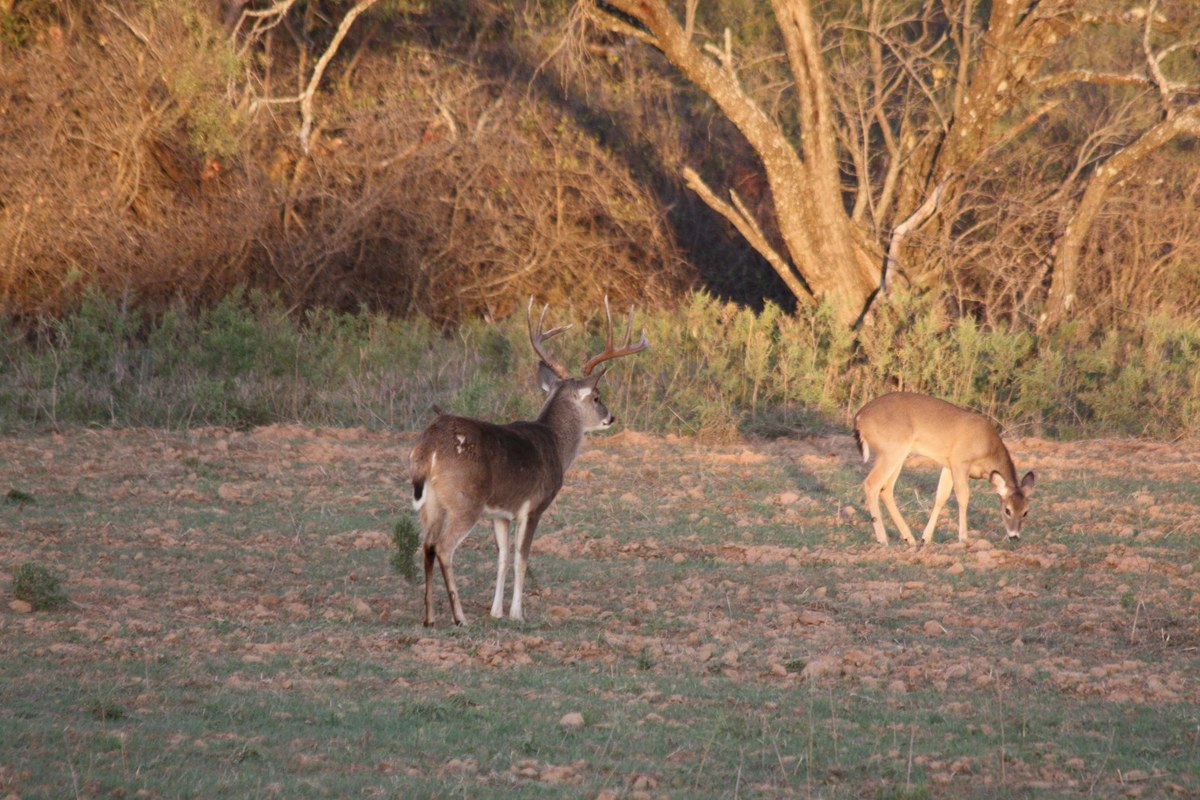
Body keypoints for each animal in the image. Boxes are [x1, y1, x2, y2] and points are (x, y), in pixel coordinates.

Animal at [408, 298, 648, 623]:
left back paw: (430, 618)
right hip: (465, 501)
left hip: (431, 503)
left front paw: (496, 611)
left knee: (427, 545)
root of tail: (428, 445)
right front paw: (517, 614)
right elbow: (522, 558)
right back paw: (460, 617)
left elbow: (502, 557)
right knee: (444, 548)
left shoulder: (500, 513)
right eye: (597, 396)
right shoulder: (533, 505)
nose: (611, 417)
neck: (556, 445)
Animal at [854, 393, 1032, 546]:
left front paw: (925, 538)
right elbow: (963, 496)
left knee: (886, 489)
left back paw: (909, 538)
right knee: (871, 484)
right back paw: (883, 539)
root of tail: (860, 416)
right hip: (892, 451)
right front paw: (963, 538)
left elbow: (941, 496)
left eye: (1025, 511)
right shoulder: (960, 461)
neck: (988, 448)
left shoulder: (948, 465)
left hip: (897, 455)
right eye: (1007, 510)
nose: (1014, 536)